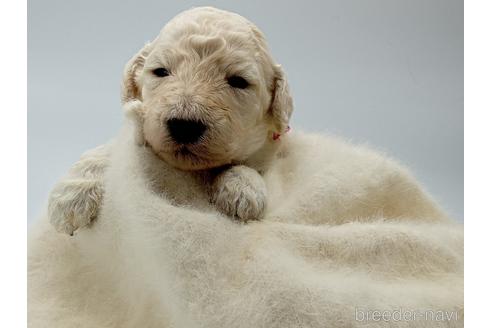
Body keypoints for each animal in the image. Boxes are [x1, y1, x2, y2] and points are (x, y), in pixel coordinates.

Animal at [48, 6, 292, 234]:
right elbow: (111, 148)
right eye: (161, 71)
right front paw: (73, 194)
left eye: (239, 81)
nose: (184, 126)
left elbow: (248, 164)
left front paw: (243, 188)